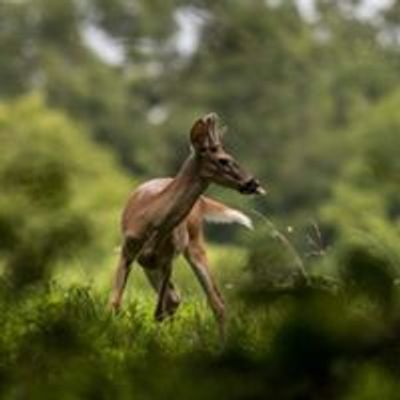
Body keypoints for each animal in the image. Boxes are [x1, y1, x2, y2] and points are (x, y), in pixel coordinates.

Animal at [109, 113, 266, 338]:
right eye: (223, 160)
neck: (151, 218)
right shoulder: (128, 250)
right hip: (149, 263)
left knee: (214, 301)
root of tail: (200, 204)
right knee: (178, 299)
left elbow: (161, 310)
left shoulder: (167, 259)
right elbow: (114, 303)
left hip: (194, 244)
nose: (254, 183)